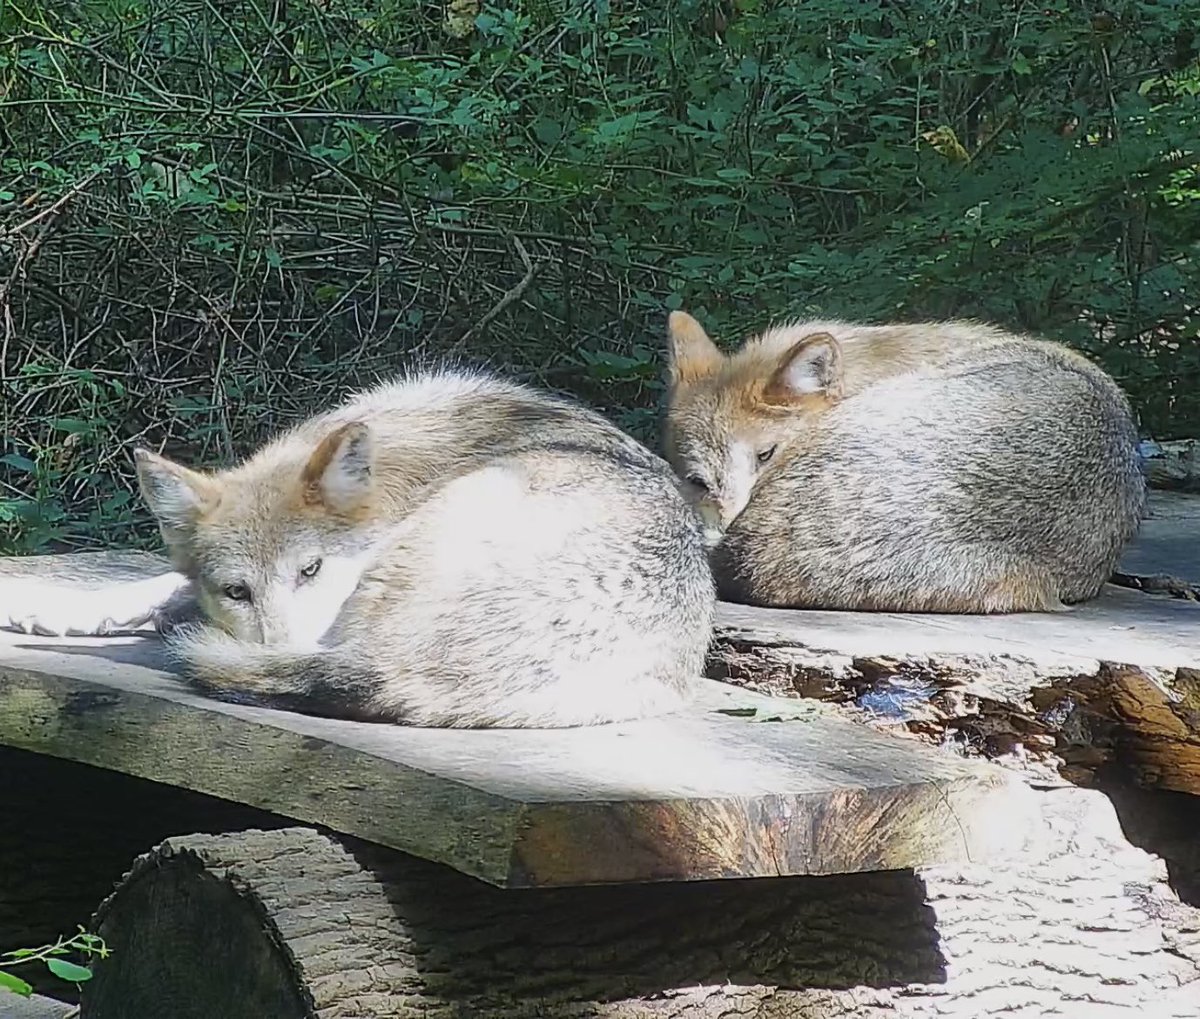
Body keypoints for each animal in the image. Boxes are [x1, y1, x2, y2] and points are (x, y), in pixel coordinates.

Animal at [2, 368, 716, 727]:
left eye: (311, 570)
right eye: (236, 590)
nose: (273, 647)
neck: (403, 460)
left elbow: (168, 592)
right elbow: (153, 581)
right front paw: (48, 608)